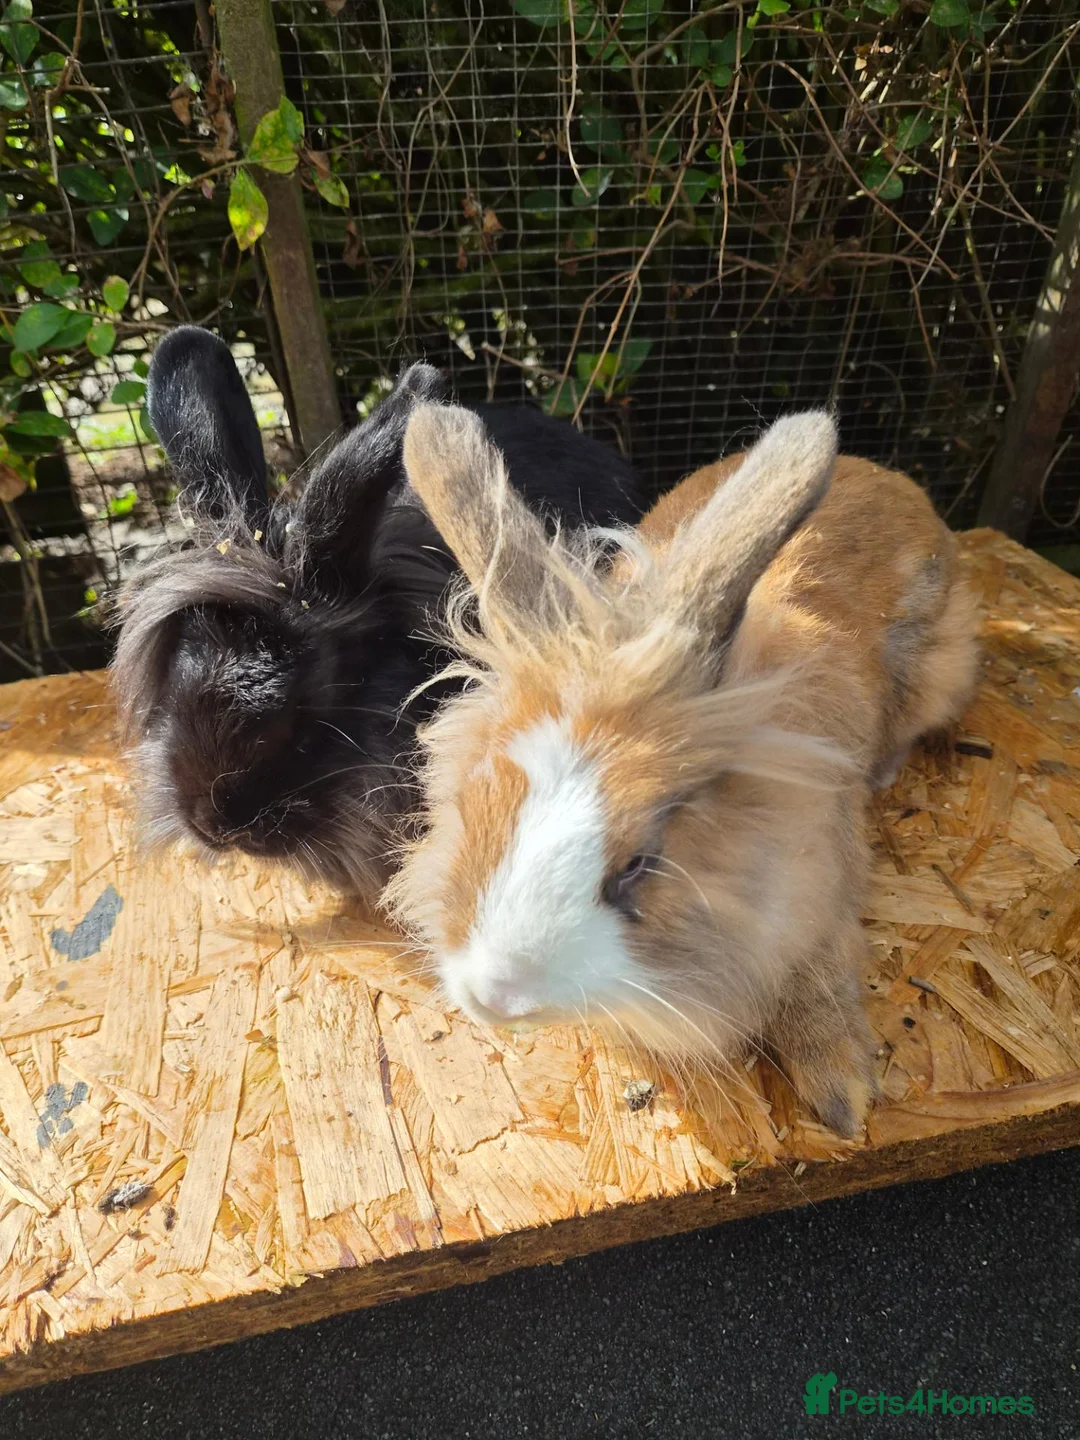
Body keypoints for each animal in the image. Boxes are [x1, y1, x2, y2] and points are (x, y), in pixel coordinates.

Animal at [384, 404, 978, 1136]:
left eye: (639, 863)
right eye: (473, 809)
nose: (496, 997)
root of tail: (892, 479)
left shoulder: (820, 899)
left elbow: (819, 986)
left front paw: (843, 1098)